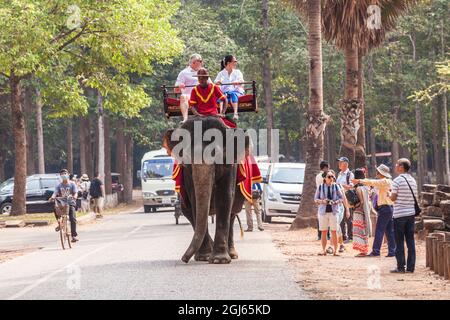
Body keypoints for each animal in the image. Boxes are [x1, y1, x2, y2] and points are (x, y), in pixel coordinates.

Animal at [164, 116, 250, 264]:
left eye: (218, 155)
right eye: (187, 157)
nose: (184, 259)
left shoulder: (230, 166)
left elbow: (225, 196)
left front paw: (219, 260)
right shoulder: (187, 173)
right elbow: (194, 200)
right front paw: (205, 257)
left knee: (232, 214)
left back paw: (231, 254)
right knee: (188, 212)